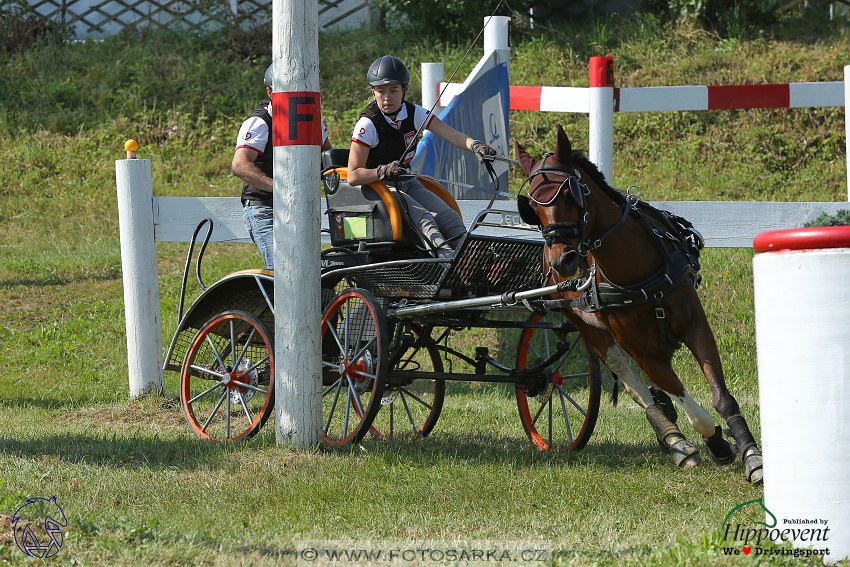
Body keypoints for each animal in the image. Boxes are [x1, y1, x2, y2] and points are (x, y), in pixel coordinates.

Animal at [512, 125, 764, 484]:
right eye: (532, 205)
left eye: (569, 194)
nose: (564, 260)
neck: (634, 270)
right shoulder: (642, 351)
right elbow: (691, 411)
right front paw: (710, 442)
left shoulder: (695, 326)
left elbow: (721, 397)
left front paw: (750, 454)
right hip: (591, 330)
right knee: (631, 382)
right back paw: (675, 440)